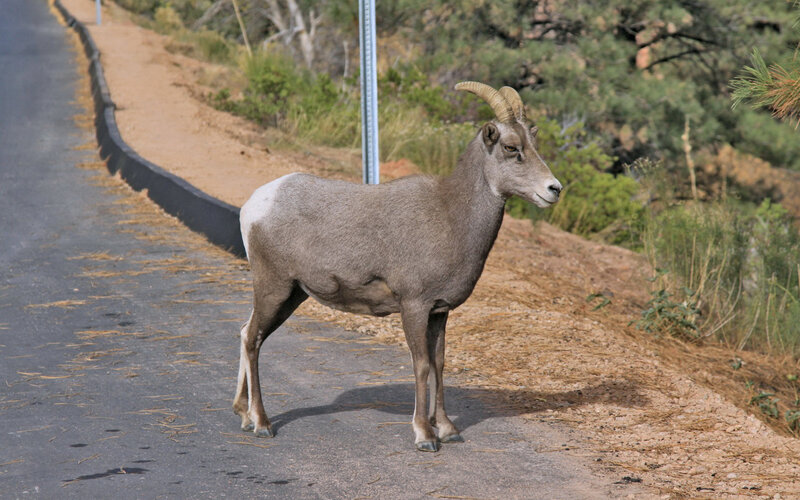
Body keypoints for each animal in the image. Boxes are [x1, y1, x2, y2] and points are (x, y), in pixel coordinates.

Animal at [233, 81, 562, 452]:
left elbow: (440, 364)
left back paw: (244, 417)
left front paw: (447, 429)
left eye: (533, 143)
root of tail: (255, 205)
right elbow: (421, 366)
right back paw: (262, 424)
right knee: (253, 339)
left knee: (247, 333)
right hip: (274, 288)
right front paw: (425, 435)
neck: (451, 217)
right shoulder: (414, 307)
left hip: (291, 295)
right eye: (511, 147)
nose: (554, 189)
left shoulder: (439, 312)